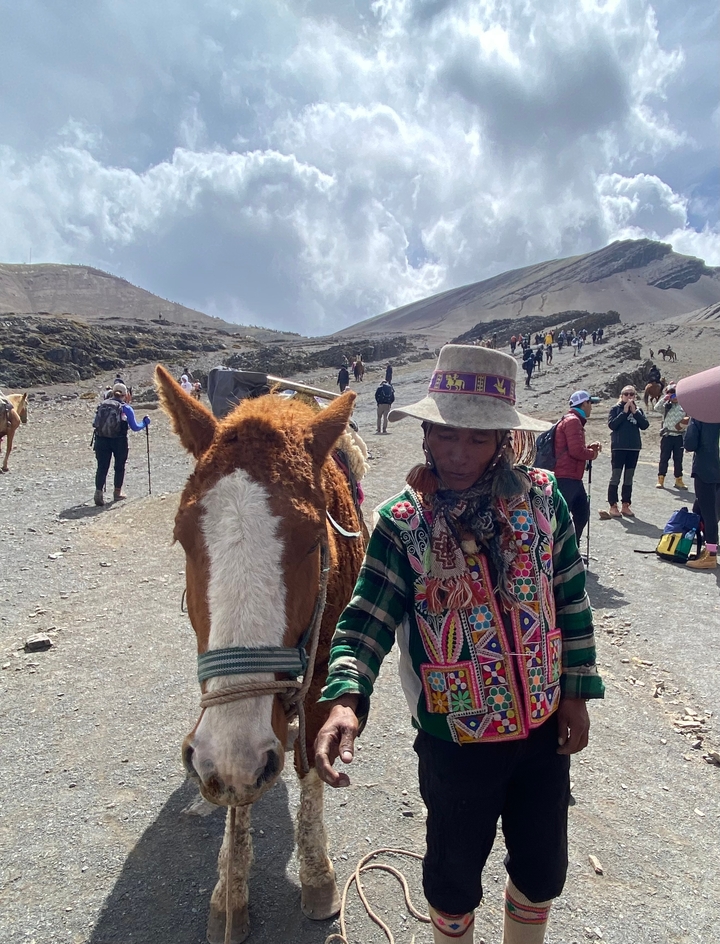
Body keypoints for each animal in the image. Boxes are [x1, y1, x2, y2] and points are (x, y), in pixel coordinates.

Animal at [154, 365, 366, 944]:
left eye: (313, 538)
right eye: (181, 535)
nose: (232, 755)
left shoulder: (323, 666)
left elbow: (310, 757)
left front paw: (316, 873)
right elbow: (239, 796)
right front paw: (230, 888)